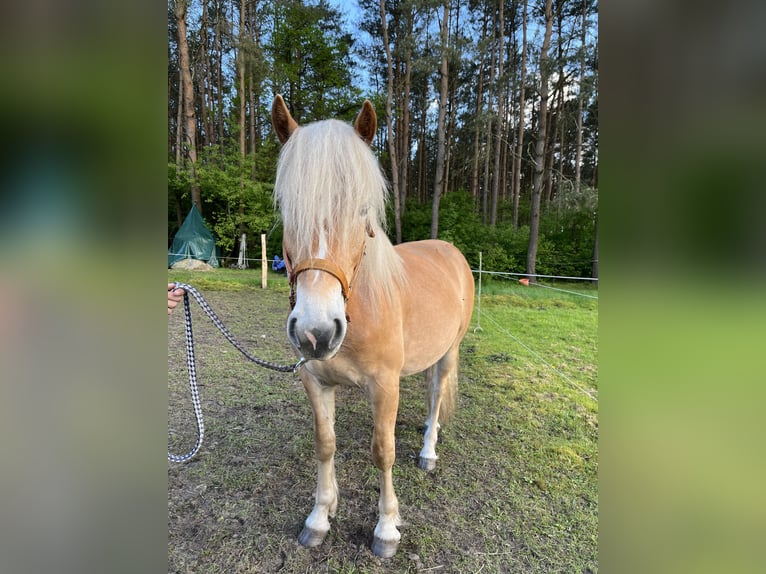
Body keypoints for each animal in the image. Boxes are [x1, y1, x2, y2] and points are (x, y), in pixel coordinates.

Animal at [270, 97, 474, 560]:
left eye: (362, 211)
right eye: (288, 208)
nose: (315, 332)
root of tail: (450, 250)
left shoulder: (384, 385)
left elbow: (383, 452)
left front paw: (386, 529)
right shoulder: (315, 381)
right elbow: (325, 442)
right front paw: (320, 517)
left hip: (449, 352)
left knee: (437, 392)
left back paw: (428, 450)